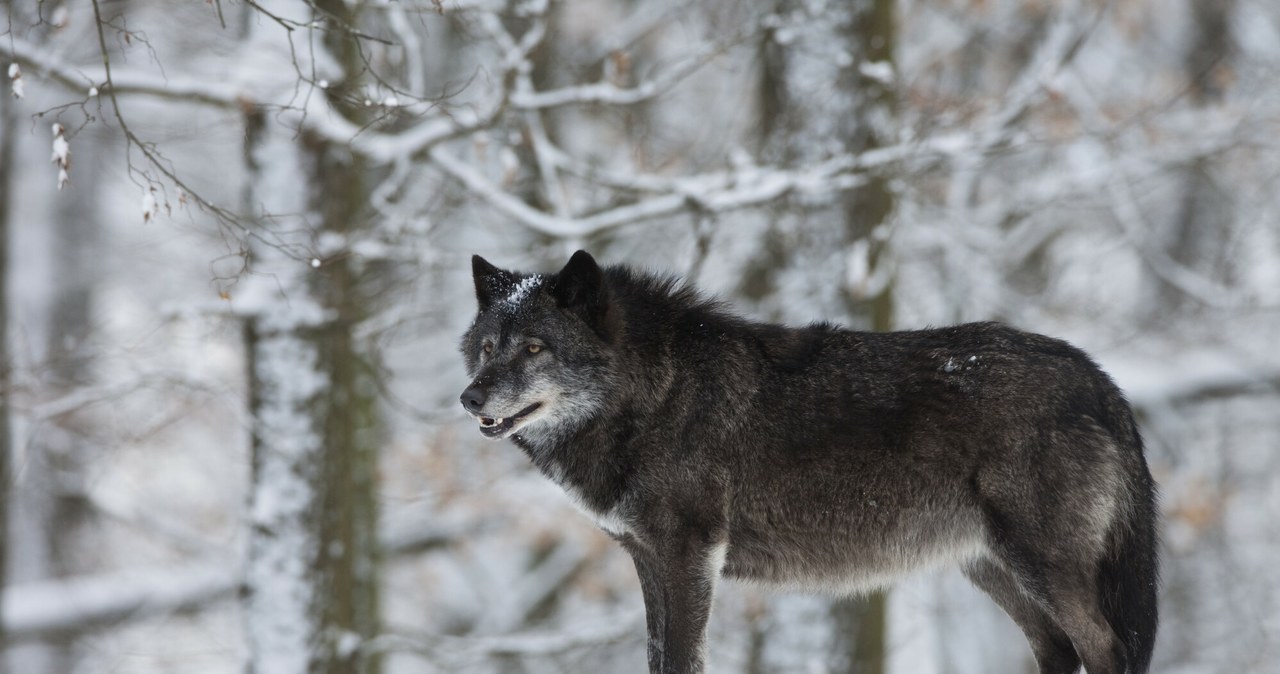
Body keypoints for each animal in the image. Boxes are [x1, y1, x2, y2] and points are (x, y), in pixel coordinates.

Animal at [460, 251, 1162, 674]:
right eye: (488, 347)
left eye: (534, 348)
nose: (469, 399)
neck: (655, 395)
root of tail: (1098, 378)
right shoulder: (648, 558)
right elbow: (659, 657)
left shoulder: (689, 556)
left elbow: (682, 660)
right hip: (992, 567)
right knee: (1058, 650)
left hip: (1039, 564)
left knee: (1106, 648)